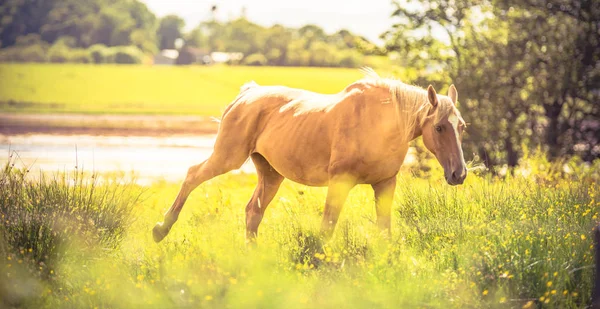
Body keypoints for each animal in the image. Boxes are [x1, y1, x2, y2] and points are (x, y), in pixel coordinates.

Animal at [151, 68, 468, 243]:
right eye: (439, 127)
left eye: (461, 126)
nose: (459, 174)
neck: (378, 122)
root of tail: (246, 95)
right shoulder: (340, 182)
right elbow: (327, 227)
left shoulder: (385, 184)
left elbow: (384, 230)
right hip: (227, 157)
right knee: (193, 175)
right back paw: (161, 230)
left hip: (270, 174)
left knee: (253, 212)